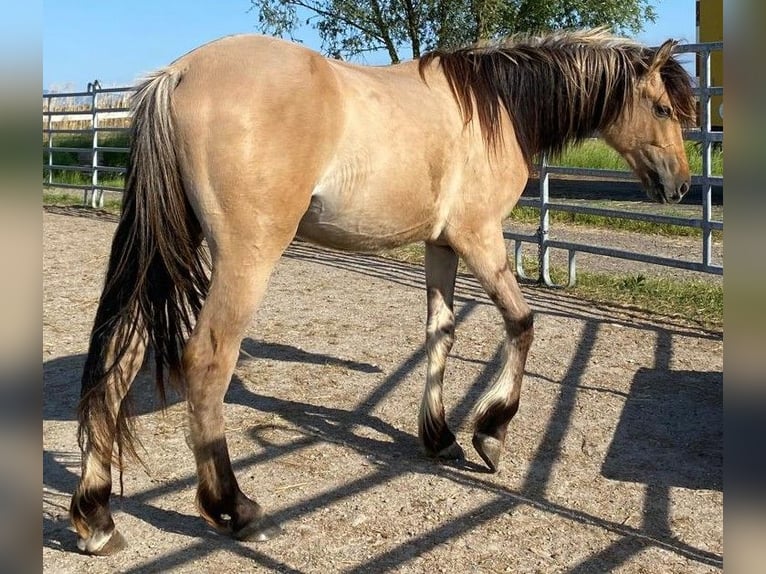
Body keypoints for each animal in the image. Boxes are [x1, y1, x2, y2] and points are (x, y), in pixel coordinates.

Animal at [69, 28, 695, 554]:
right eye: (662, 108)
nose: (681, 185)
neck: (494, 107)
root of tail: (178, 74)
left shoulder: (441, 245)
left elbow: (441, 333)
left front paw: (440, 437)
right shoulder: (479, 237)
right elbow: (521, 324)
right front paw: (490, 433)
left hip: (167, 243)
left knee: (121, 353)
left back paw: (97, 518)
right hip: (246, 257)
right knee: (206, 361)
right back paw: (235, 508)